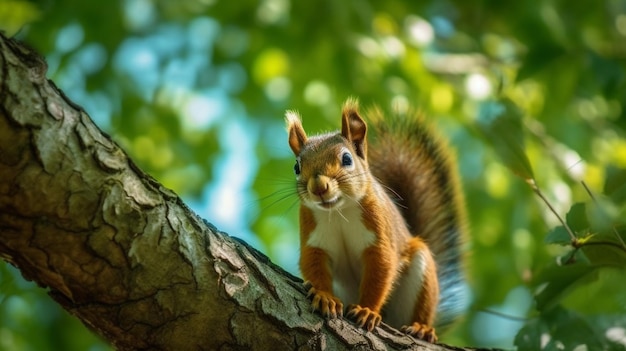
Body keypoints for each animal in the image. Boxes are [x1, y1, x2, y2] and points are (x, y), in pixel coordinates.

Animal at [286, 97, 466, 342]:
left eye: (346, 158)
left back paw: (421, 328)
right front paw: (324, 296)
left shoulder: (379, 234)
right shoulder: (314, 238)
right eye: (297, 167)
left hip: (420, 274)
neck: (339, 212)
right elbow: (314, 263)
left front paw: (367, 310)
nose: (319, 187)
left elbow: (380, 269)